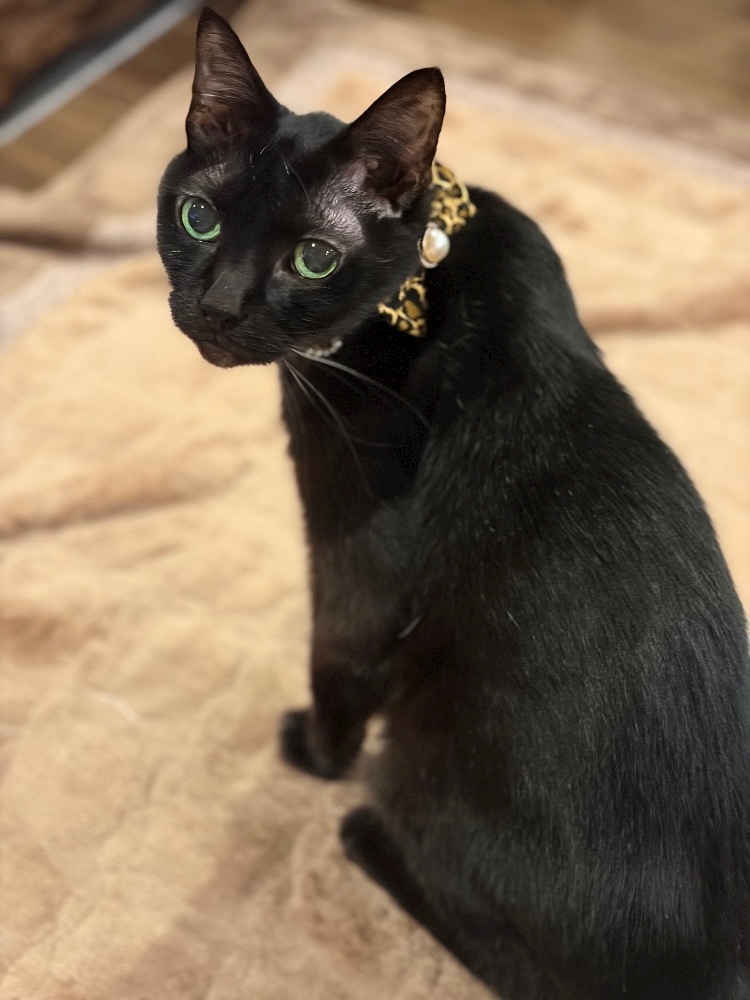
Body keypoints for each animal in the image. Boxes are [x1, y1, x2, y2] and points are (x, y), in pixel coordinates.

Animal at [157, 9, 750, 999]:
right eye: (197, 217)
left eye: (313, 257)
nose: (219, 306)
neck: (424, 279)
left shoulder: (355, 552)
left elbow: (337, 657)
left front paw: (316, 757)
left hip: (428, 750)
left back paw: (368, 834)